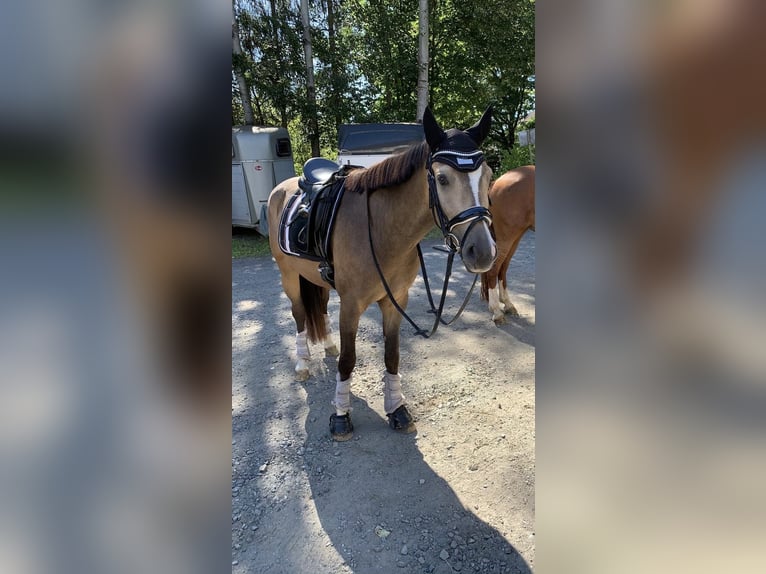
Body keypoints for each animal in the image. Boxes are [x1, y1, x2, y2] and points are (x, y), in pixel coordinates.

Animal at [267, 106, 497, 441]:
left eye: (489, 177)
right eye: (442, 179)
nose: (483, 252)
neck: (382, 227)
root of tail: (281, 188)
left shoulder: (394, 300)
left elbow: (392, 356)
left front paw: (397, 409)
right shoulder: (351, 305)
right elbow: (348, 360)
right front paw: (340, 416)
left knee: (319, 308)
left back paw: (328, 345)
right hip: (289, 277)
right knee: (299, 315)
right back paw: (302, 364)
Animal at [480, 165, 535, 324]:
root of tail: (496, 183)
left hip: (515, 238)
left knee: (502, 269)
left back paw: (508, 304)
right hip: (507, 237)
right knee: (494, 270)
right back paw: (497, 312)